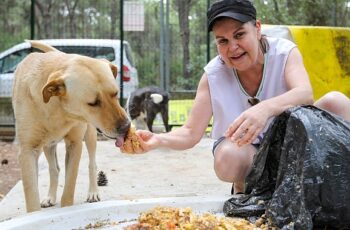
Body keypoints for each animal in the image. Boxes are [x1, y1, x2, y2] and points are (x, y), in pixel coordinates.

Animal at [12, 40, 131, 213]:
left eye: (116, 93)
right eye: (93, 103)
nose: (126, 127)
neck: (57, 108)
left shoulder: (74, 144)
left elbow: (69, 187)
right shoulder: (28, 151)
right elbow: (31, 195)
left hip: (90, 136)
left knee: (92, 164)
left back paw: (93, 192)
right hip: (48, 145)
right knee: (54, 169)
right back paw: (50, 197)